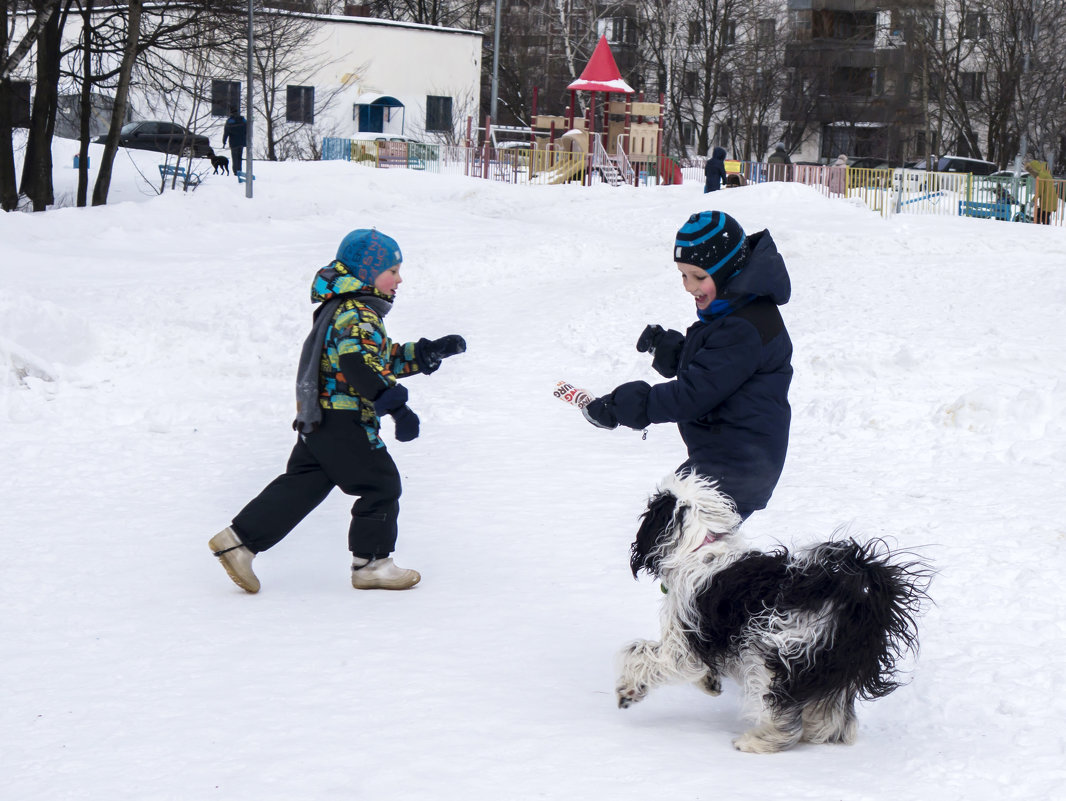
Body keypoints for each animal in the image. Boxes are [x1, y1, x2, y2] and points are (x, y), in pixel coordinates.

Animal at [618, 473, 933, 755]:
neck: (700, 546)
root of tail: (854, 599)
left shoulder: (685, 639)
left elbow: (640, 653)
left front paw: (628, 690)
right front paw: (710, 682)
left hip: (774, 657)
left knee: (783, 716)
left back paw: (757, 742)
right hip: (833, 667)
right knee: (834, 716)